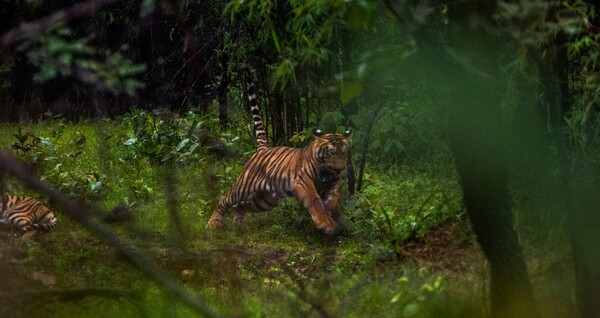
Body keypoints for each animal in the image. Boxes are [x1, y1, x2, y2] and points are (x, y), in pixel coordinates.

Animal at [207, 79, 352, 234]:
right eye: (331, 153)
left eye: (344, 153)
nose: (340, 169)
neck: (326, 172)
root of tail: (263, 148)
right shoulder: (304, 181)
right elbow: (315, 201)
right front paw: (325, 223)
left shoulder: (332, 184)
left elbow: (334, 199)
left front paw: (329, 212)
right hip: (243, 188)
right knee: (224, 199)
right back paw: (213, 224)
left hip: (265, 200)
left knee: (240, 206)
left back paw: (239, 227)